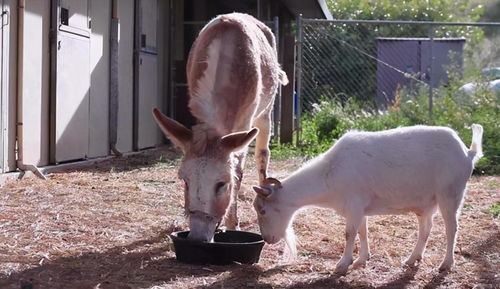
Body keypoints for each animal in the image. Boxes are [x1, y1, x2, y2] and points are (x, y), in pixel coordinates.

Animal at [254, 123, 484, 272]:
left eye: (263, 210)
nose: (268, 239)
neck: (330, 172)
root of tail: (468, 153)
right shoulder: (358, 208)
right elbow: (362, 232)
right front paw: (361, 260)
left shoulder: (354, 204)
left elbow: (349, 234)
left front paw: (342, 264)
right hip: (426, 203)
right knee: (425, 229)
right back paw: (411, 260)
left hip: (450, 194)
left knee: (451, 228)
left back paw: (445, 264)